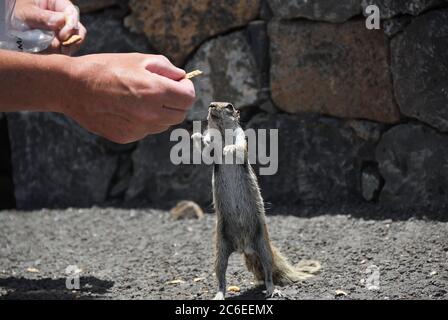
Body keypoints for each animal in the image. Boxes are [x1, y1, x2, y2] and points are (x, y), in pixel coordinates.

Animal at [192, 102, 322, 300]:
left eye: (229, 106)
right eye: (211, 104)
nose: (211, 105)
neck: (222, 133)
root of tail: (244, 247)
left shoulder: (240, 137)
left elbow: (238, 148)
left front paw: (228, 149)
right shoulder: (212, 148)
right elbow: (207, 152)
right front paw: (196, 136)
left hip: (264, 247)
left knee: (268, 273)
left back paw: (272, 289)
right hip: (220, 249)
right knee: (221, 276)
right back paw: (219, 294)